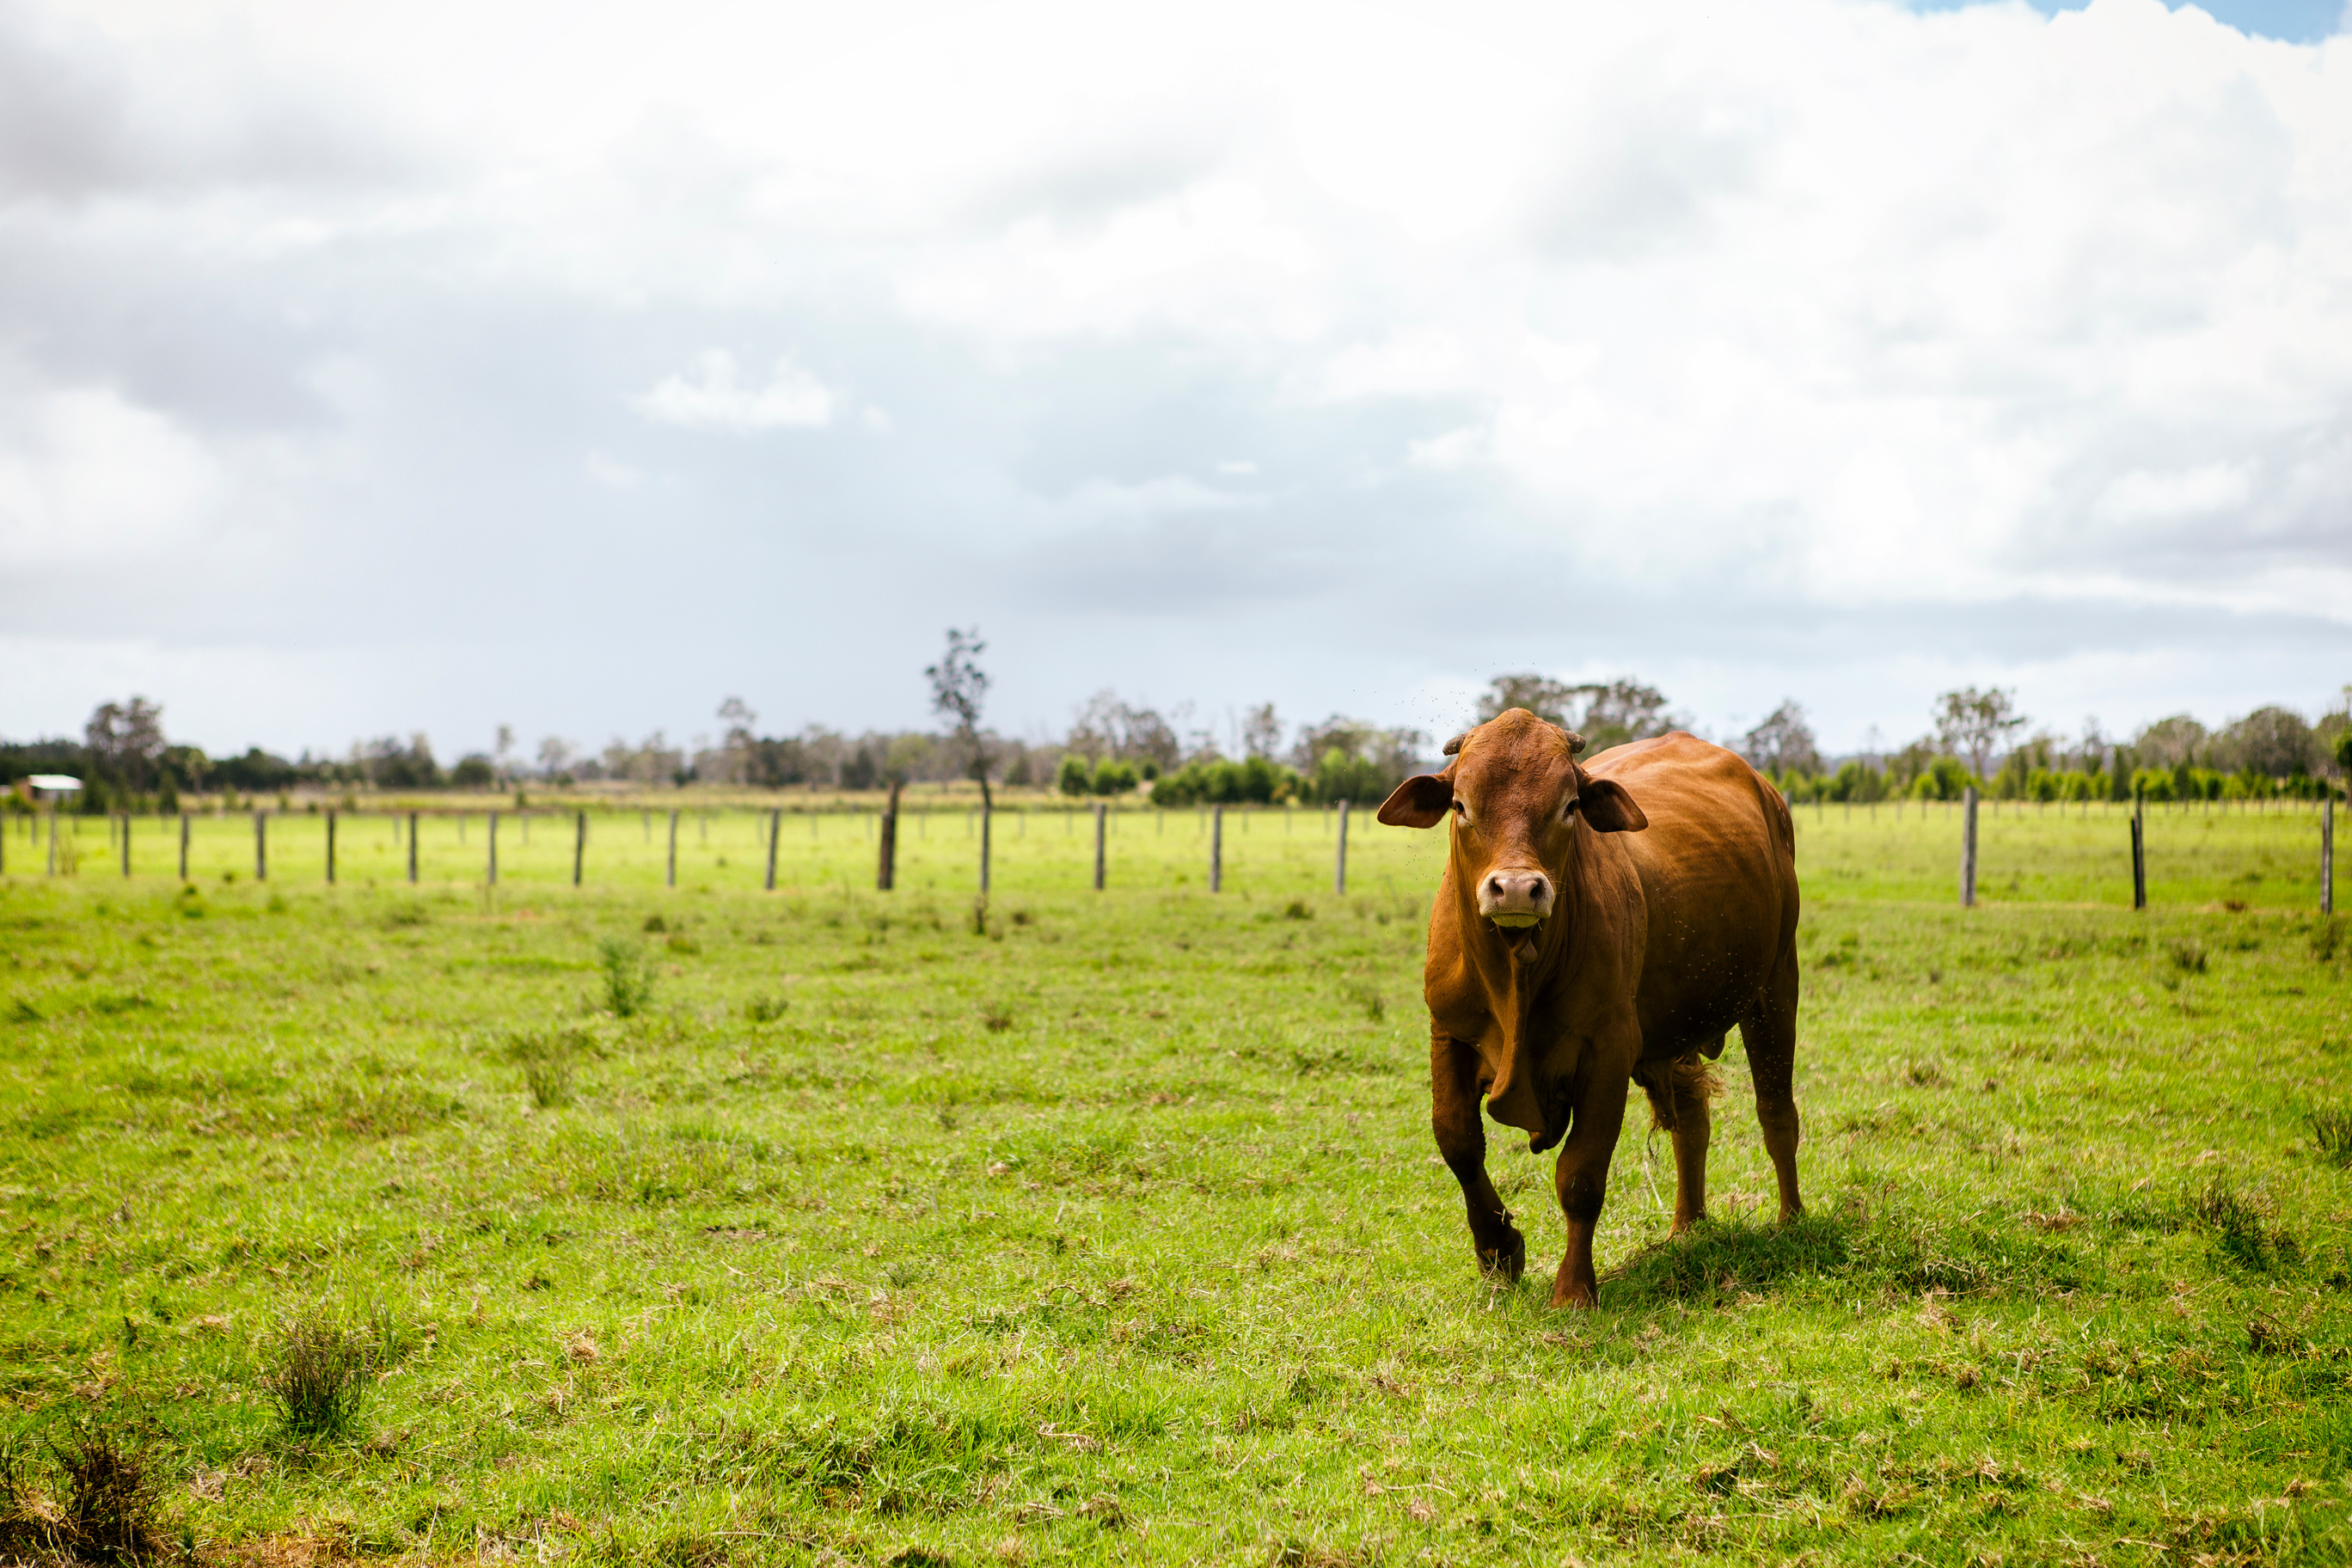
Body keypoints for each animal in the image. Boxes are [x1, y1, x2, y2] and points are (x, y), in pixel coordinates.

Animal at [1375, 708, 1802, 1308]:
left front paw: (1575, 1289)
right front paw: (1498, 1251)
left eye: (1569, 806)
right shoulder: (1448, 1035)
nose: (1516, 890)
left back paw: (1791, 1219)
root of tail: (1764, 791)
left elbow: (1580, 1174)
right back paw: (1686, 1227)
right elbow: (1458, 1142)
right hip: (1677, 1022)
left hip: (1776, 985)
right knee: (1693, 1119)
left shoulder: (1608, 1053)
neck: (1517, 975)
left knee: (1776, 1111)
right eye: (1461, 805)